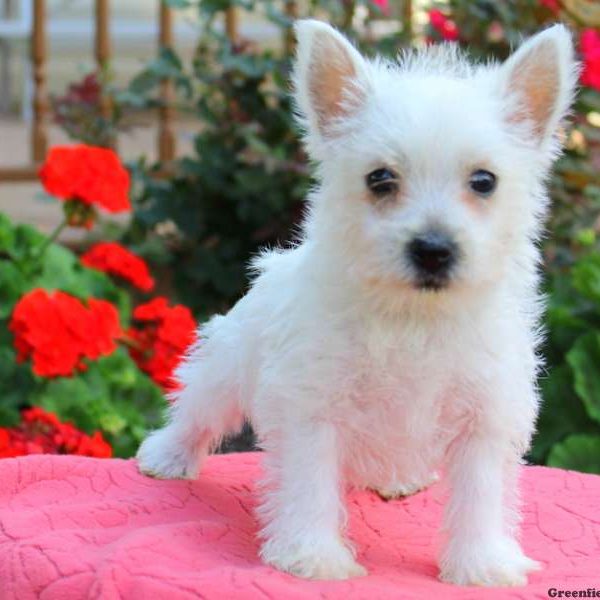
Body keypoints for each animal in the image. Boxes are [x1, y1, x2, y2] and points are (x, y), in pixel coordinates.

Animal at [138, 19, 580, 584]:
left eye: (484, 181)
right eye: (380, 178)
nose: (433, 249)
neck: (414, 317)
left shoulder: (484, 416)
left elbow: (481, 494)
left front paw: (481, 563)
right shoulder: (312, 408)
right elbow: (309, 484)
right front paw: (313, 556)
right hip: (226, 364)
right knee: (197, 408)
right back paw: (167, 455)